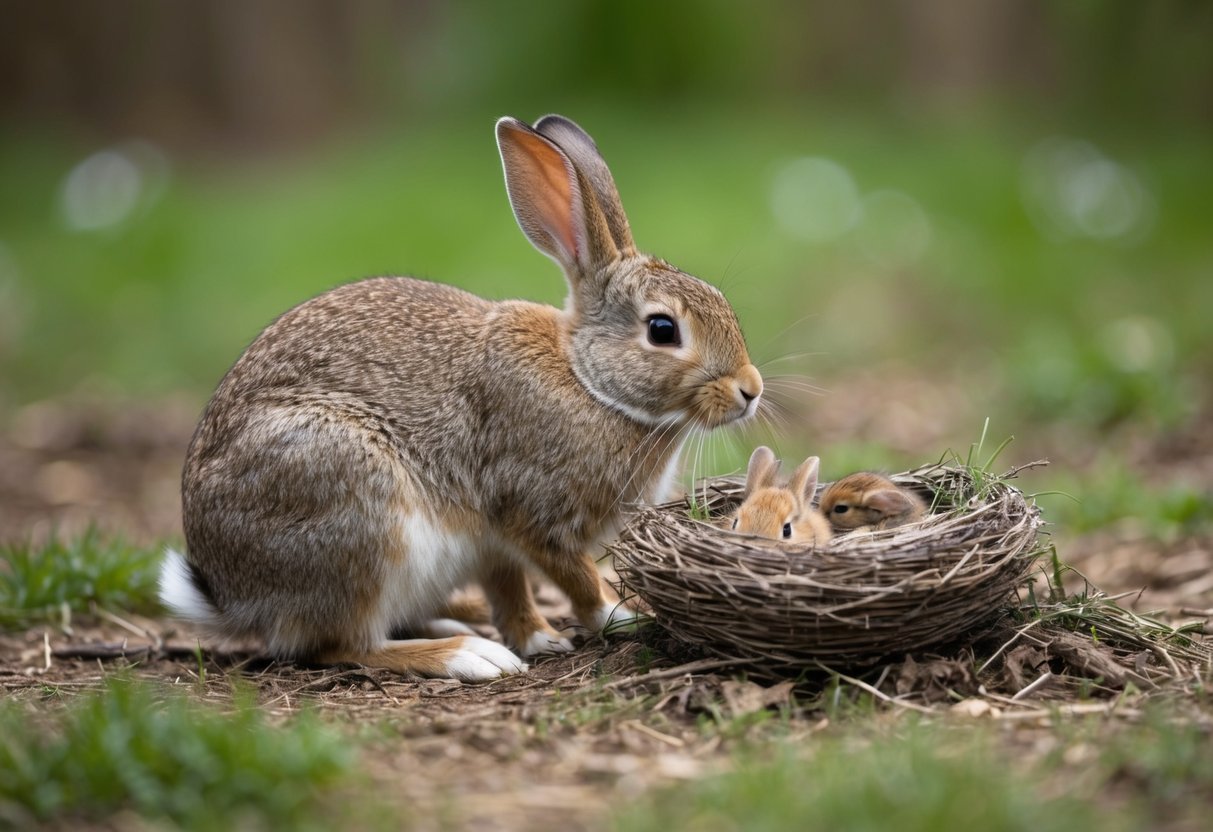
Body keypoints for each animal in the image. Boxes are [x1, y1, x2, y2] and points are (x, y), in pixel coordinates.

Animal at [160, 114, 764, 682]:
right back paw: (468, 655)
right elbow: (578, 579)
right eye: (663, 330)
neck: (589, 382)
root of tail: (232, 596)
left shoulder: (493, 543)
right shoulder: (533, 514)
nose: (751, 391)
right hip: (353, 508)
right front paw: (621, 616)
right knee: (341, 644)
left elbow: (509, 586)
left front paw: (537, 638)